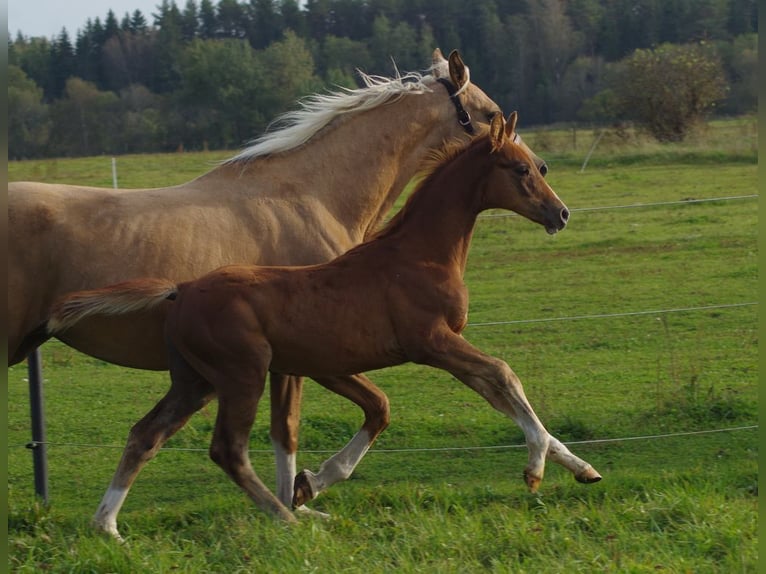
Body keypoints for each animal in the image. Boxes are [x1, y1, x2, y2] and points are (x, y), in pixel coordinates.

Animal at [9, 53, 524, 520]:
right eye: (492, 114)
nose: (535, 164)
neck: (307, 196)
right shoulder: (304, 356)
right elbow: (289, 429)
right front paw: (297, 498)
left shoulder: (290, 358)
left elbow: (286, 430)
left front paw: (296, 500)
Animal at [49, 112, 608, 540]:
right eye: (521, 168)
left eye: (538, 166)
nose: (560, 213)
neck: (418, 255)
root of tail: (180, 290)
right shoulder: (431, 341)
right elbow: (503, 375)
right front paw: (534, 470)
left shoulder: (344, 362)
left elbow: (434, 400)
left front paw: (583, 469)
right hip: (242, 375)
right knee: (227, 449)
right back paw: (286, 520)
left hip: (196, 381)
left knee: (147, 433)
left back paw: (107, 526)